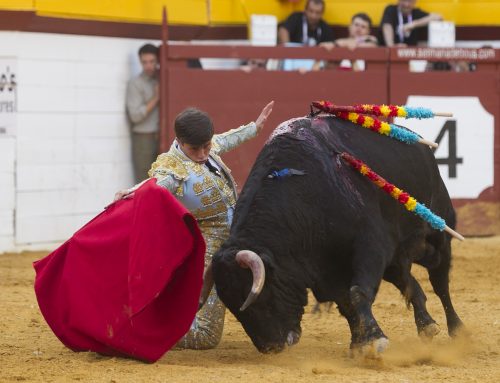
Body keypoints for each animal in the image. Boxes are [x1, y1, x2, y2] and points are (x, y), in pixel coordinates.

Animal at [209, 115, 462, 356]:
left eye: (261, 296)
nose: (270, 347)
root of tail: (420, 144)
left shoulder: (371, 247)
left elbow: (358, 293)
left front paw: (374, 341)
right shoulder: (328, 271)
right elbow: (346, 304)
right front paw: (359, 342)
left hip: (437, 237)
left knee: (440, 282)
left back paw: (458, 329)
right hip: (396, 258)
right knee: (409, 282)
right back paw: (426, 325)